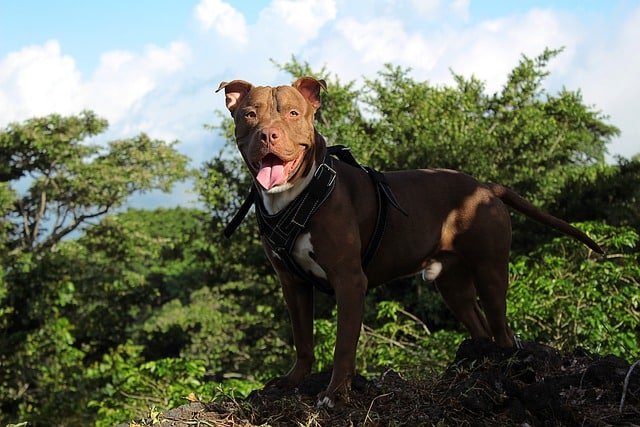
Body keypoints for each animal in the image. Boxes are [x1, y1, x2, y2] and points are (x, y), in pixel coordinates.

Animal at [218, 76, 604, 408]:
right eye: (250, 114)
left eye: (293, 113)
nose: (268, 134)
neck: (297, 195)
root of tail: (485, 186)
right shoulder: (292, 283)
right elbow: (303, 340)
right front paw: (293, 381)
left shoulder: (349, 281)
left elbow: (344, 345)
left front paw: (336, 393)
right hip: (452, 283)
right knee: (479, 324)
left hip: (491, 270)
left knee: (502, 329)